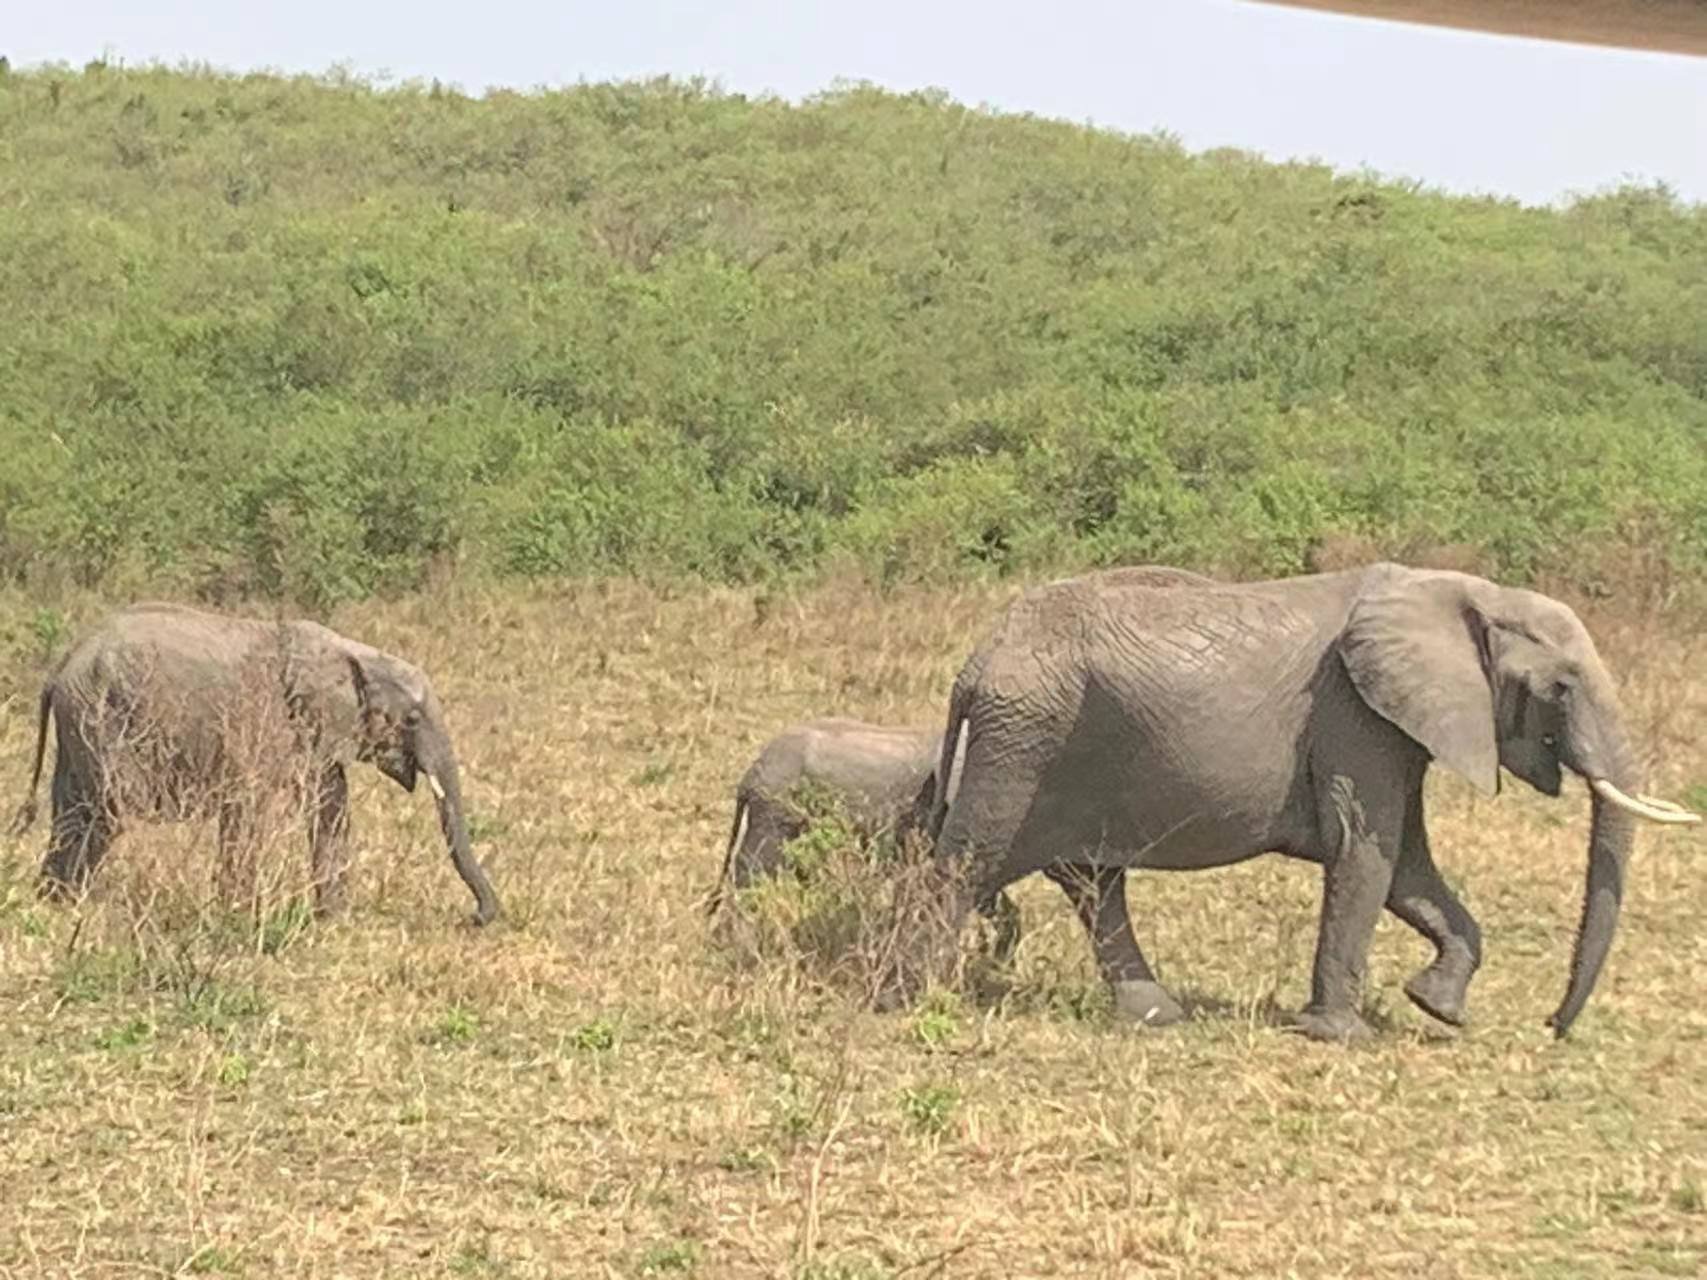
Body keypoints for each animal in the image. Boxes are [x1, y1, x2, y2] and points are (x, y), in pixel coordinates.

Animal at [8, 607, 498, 928]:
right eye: (412, 719)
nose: (475, 917)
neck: (349, 651)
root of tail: (59, 667)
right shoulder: (262, 723)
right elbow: (246, 808)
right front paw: (239, 915)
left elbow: (331, 810)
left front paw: (335, 921)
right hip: (99, 717)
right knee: (107, 810)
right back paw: (78, 904)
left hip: (79, 724)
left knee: (71, 810)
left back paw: (53, 901)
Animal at [880, 559, 1693, 1044]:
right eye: (1561, 687)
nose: (1552, 1025)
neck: (1458, 592)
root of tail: (975, 661)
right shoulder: (1354, 717)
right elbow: (1366, 853)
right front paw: (1342, 1036)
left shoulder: (1390, 726)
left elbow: (1404, 866)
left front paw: (1436, 1006)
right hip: (1023, 743)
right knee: (969, 864)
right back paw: (908, 998)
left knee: (1092, 882)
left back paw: (1157, 1017)